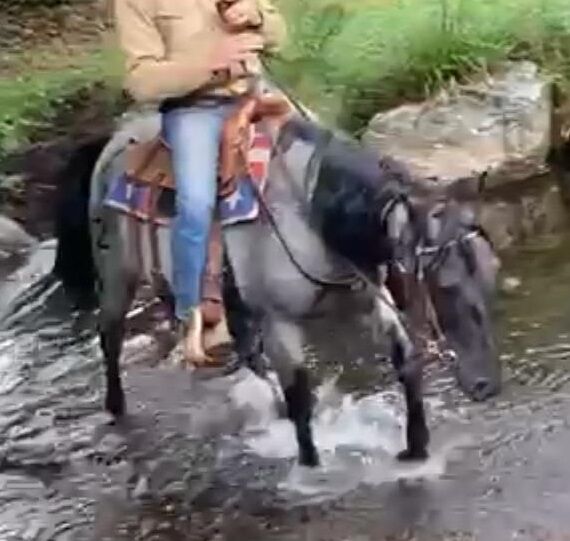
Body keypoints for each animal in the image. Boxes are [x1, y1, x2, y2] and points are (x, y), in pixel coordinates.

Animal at [52, 95, 496, 466]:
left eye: (491, 275)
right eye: (445, 284)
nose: (486, 386)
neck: (314, 214)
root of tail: (111, 143)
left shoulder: (369, 296)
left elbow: (406, 360)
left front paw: (416, 448)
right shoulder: (280, 320)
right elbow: (300, 395)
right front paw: (310, 467)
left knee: (242, 351)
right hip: (117, 275)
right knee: (110, 337)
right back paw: (116, 409)